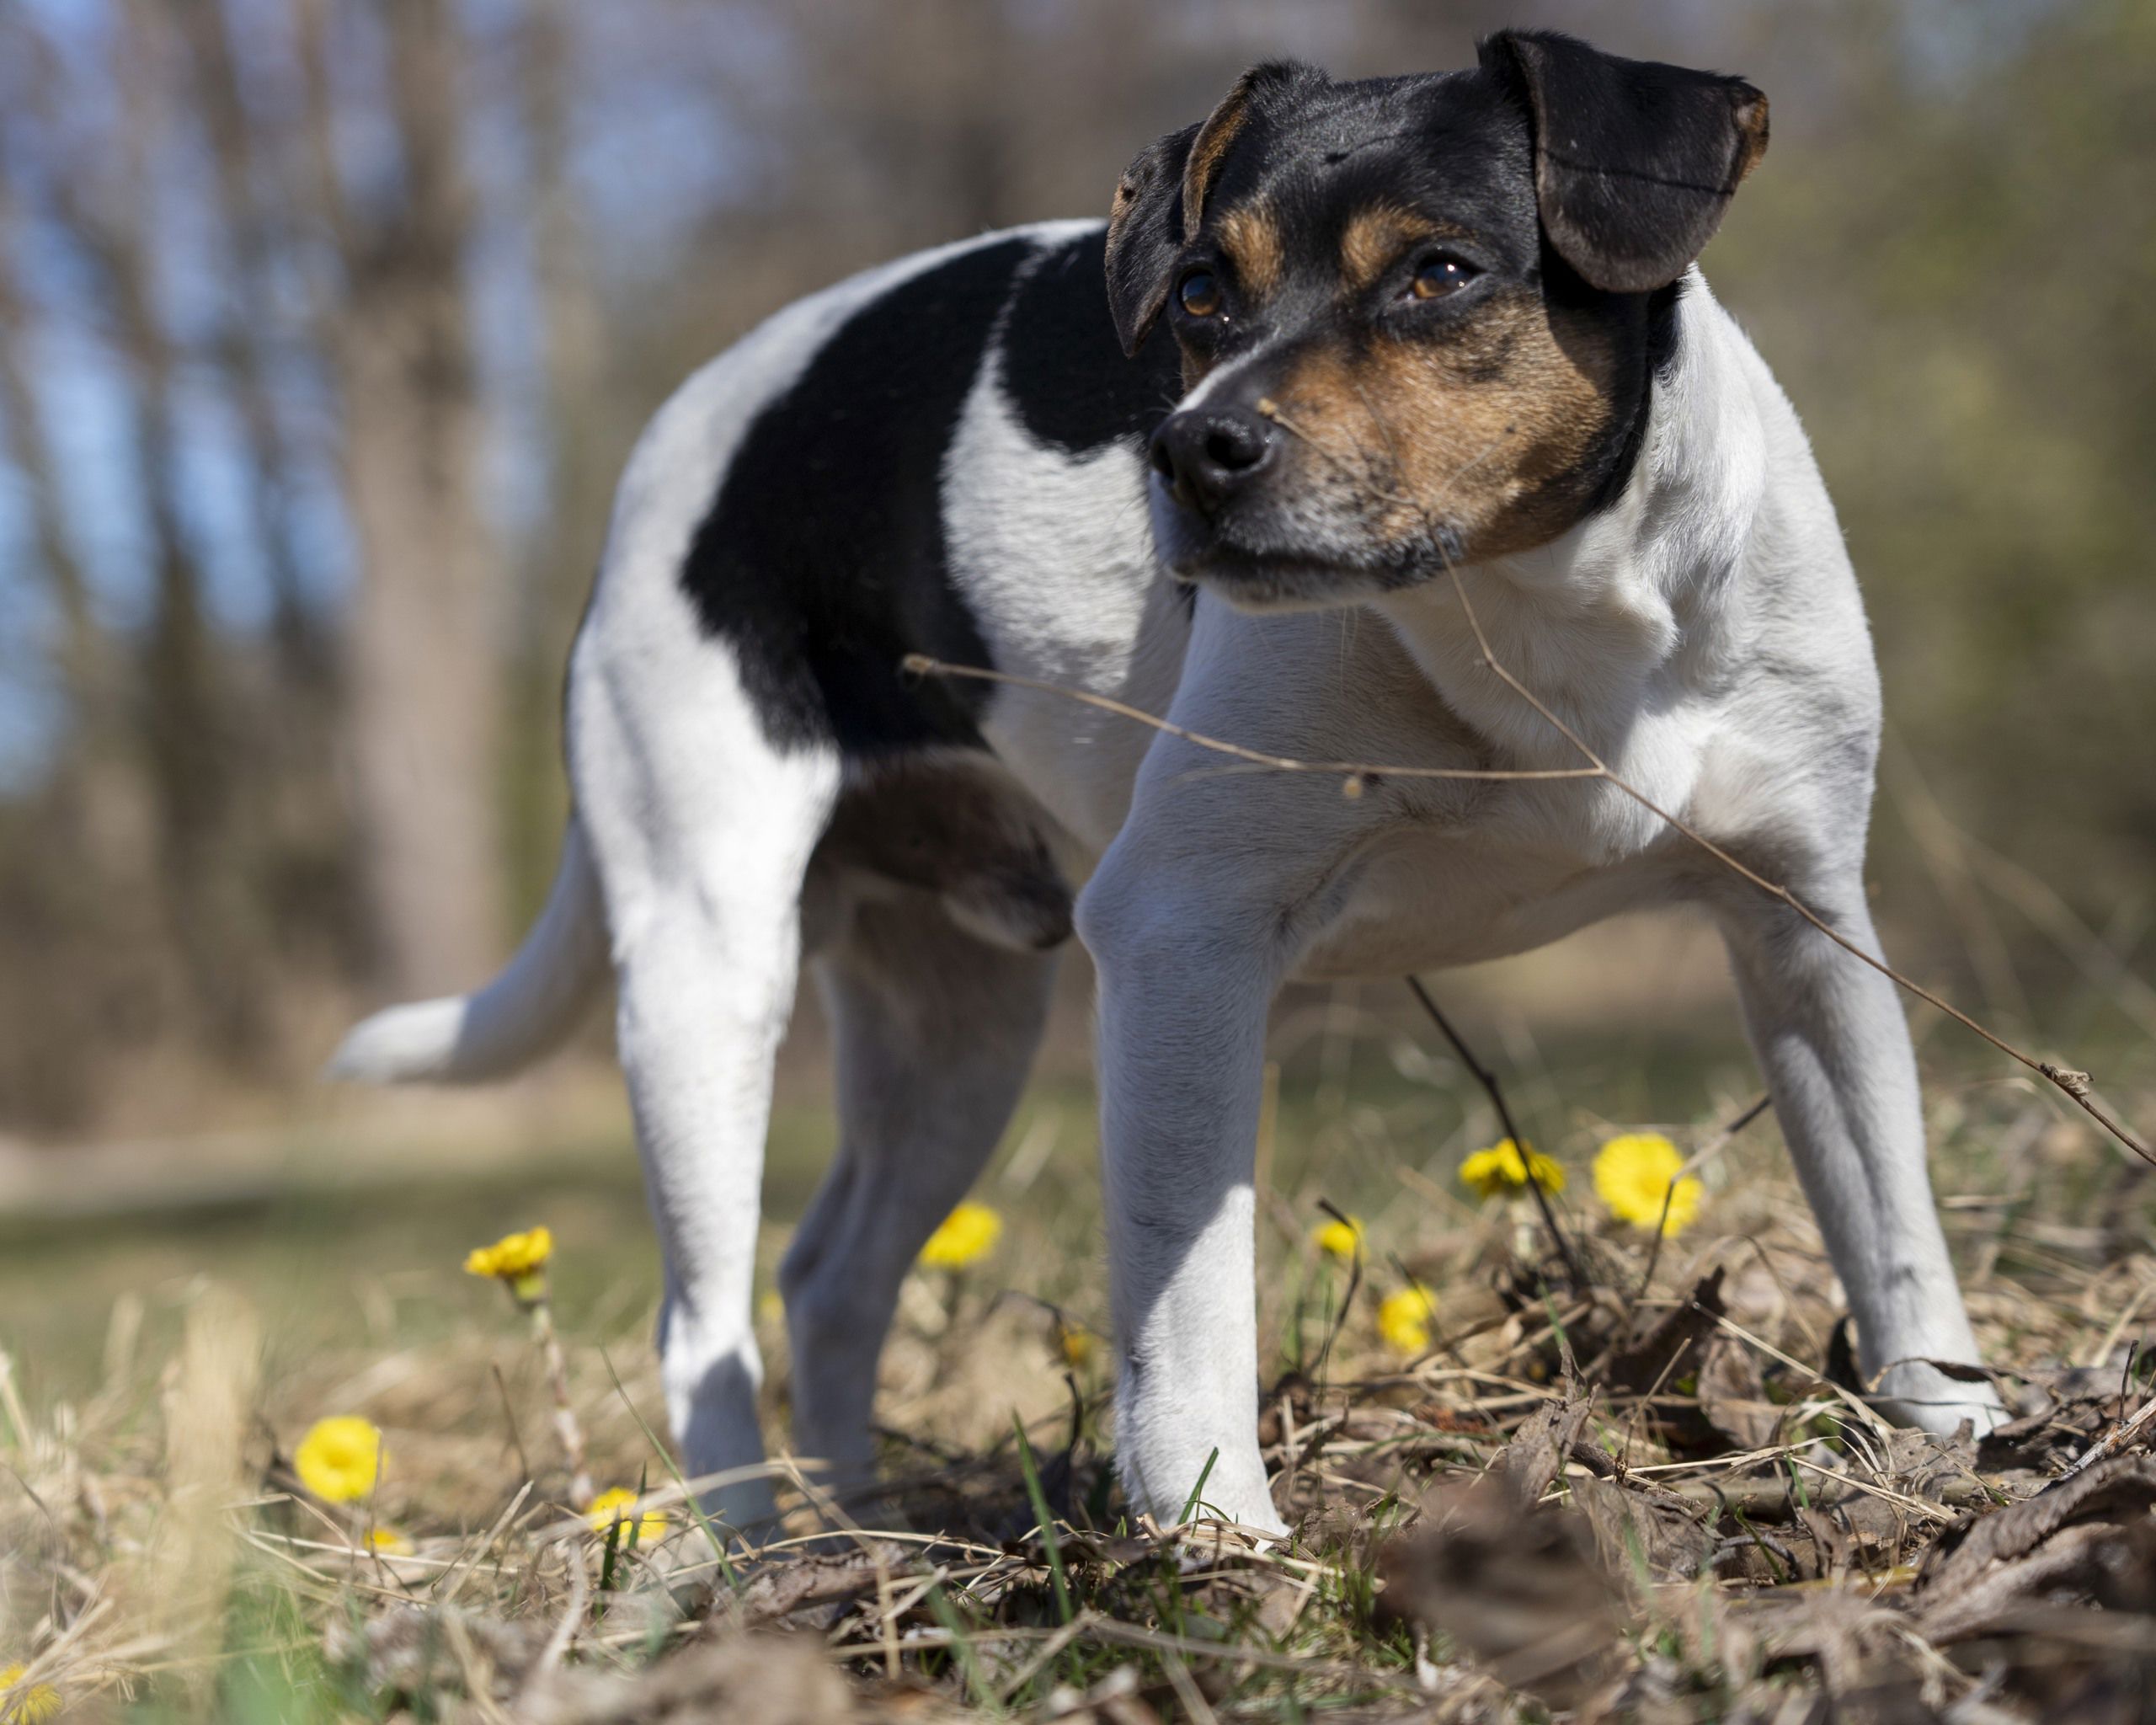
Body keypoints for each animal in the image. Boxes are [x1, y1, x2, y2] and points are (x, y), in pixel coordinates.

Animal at [336, 30, 2000, 1535]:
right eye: (1201, 293)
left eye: (1442, 273)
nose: (1192, 452)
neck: (1531, 614)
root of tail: (655, 464)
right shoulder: (1180, 940)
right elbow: (1189, 1297)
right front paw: (1222, 1546)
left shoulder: (1803, 930)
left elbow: (1894, 1227)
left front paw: (1963, 1439)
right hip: (708, 971)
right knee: (704, 1326)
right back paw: (746, 1563)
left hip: (958, 1029)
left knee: (830, 1279)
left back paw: (863, 1542)